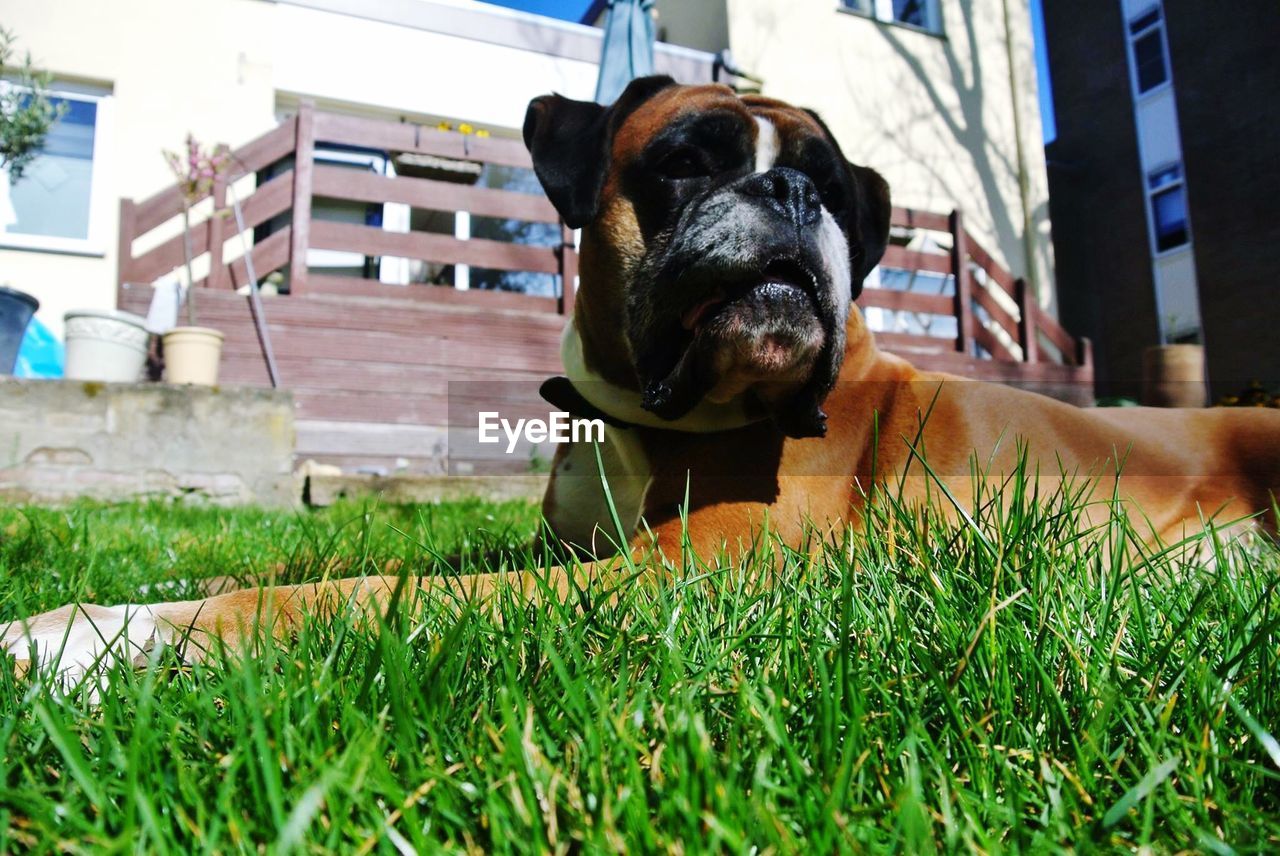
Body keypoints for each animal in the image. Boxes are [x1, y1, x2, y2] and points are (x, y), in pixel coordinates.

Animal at [7, 78, 1280, 680]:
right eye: (684, 162)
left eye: (832, 184)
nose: (794, 194)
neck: (632, 418)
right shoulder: (564, 552)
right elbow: (341, 565)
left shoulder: (674, 575)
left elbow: (355, 592)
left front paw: (87, 635)